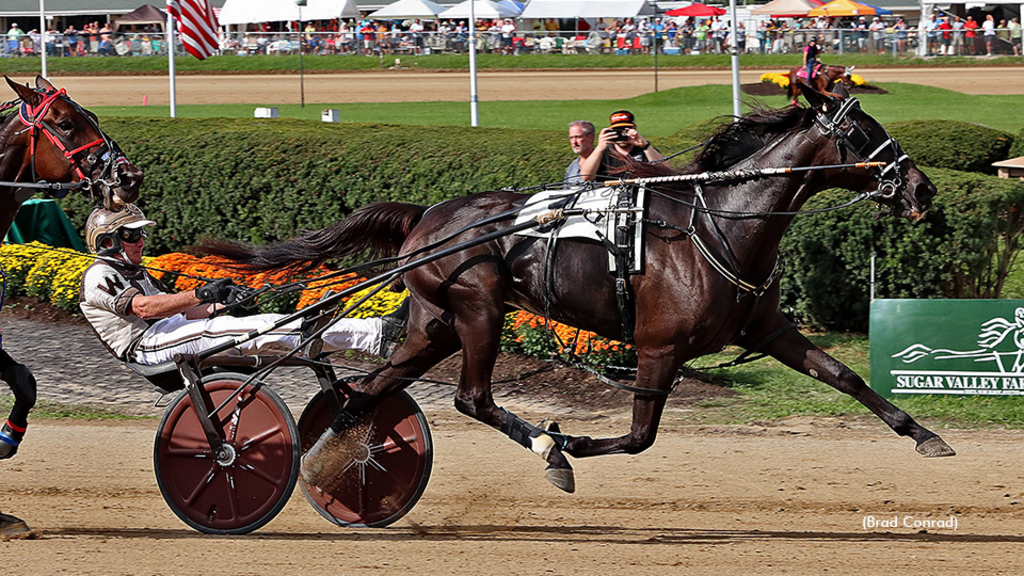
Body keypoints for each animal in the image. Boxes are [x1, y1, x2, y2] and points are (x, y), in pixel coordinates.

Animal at [203, 86, 954, 498]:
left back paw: (332, 462)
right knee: (471, 398)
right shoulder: (659, 347)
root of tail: (426, 216)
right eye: (861, 131)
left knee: (368, 391)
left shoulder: (766, 330)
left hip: (432, 323)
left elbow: (845, 377)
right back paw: (544, 446)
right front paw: (569, 442)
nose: (922, 189)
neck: (719, 224)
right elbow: (639, 436)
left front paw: (925, 435)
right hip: (478, 308)